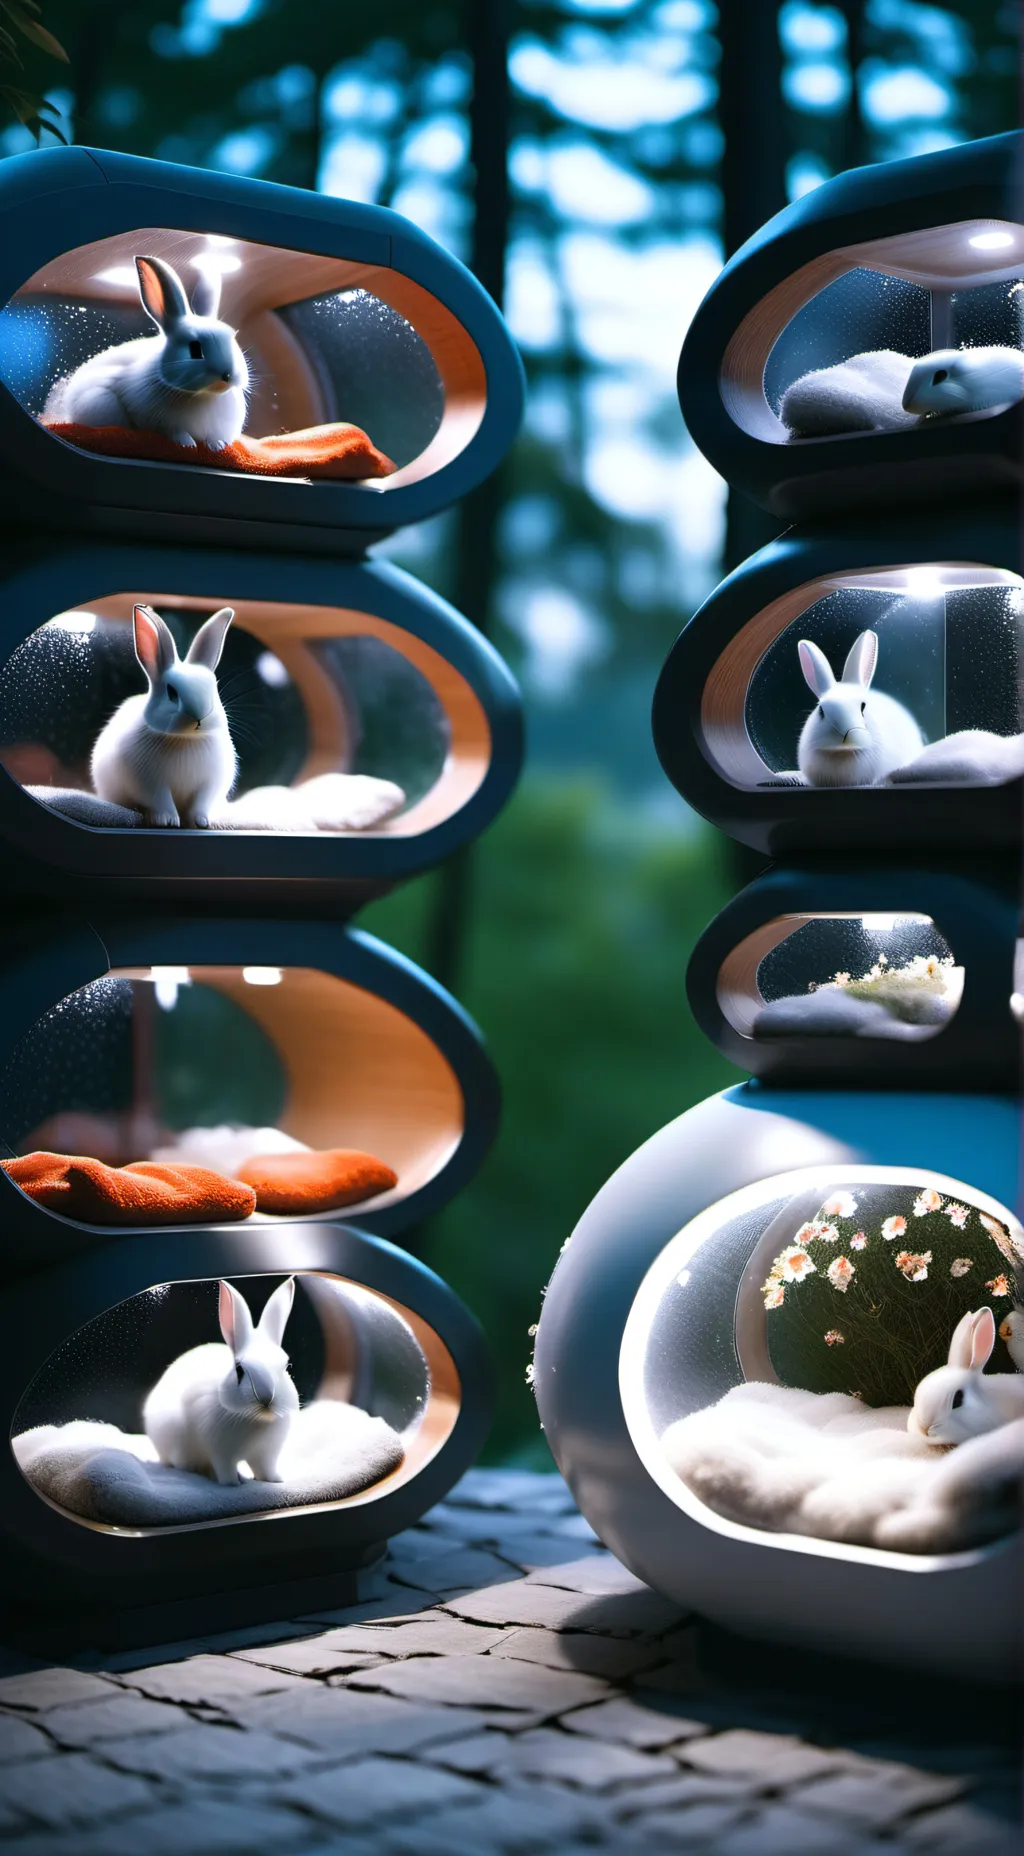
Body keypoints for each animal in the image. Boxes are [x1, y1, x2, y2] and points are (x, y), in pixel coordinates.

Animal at [43, 255, 248, 450]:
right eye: (195, 349)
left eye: (233, 340)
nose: (227, 375)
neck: (203, 395)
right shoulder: (154, 418)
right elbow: (175, 432)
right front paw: (187, 444)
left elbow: (215, 438)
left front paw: (218, 446)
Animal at [91, 603, 237, 828]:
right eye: (172, 693)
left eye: (214, 689)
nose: (199, 718)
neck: (186, 740)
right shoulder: (150, 784)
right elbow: (161, 801)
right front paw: (167, 821)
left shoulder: (210, 784)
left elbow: (200, 805)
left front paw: (201, 822)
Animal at [144, 1279, 298, 1486]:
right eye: (239, 1370)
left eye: (287, 1366)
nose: (266, 1398)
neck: (257, 1420)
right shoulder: (221, 1453)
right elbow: (225, 1470)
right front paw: (233, 1483)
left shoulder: (266, 1455)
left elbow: (266, 1470)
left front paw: (275, 1480)